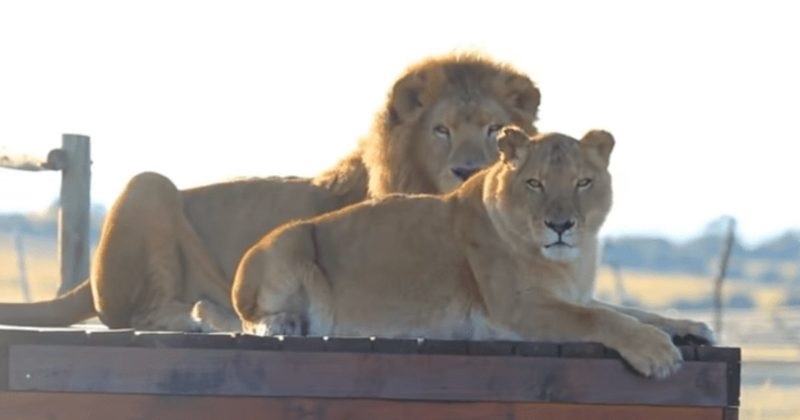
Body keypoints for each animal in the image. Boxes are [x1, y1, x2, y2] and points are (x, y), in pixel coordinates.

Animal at [0, 52, 540, 332]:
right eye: (441, 130)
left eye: (494, 129)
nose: (468, 169)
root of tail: (87, 280)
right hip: (147, 185)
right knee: (141, 313)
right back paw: (210, 313)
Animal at [231, 127, 712, 378]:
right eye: (535, 183)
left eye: (583, 182)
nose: (560, 226)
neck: (570, 261)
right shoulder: (513, 309)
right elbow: (600, 319)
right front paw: (657, 352)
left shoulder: (571, 294)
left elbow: (629, 311)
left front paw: (690, 328)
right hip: (291, 240)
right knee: (252, 319)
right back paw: (285, 323)